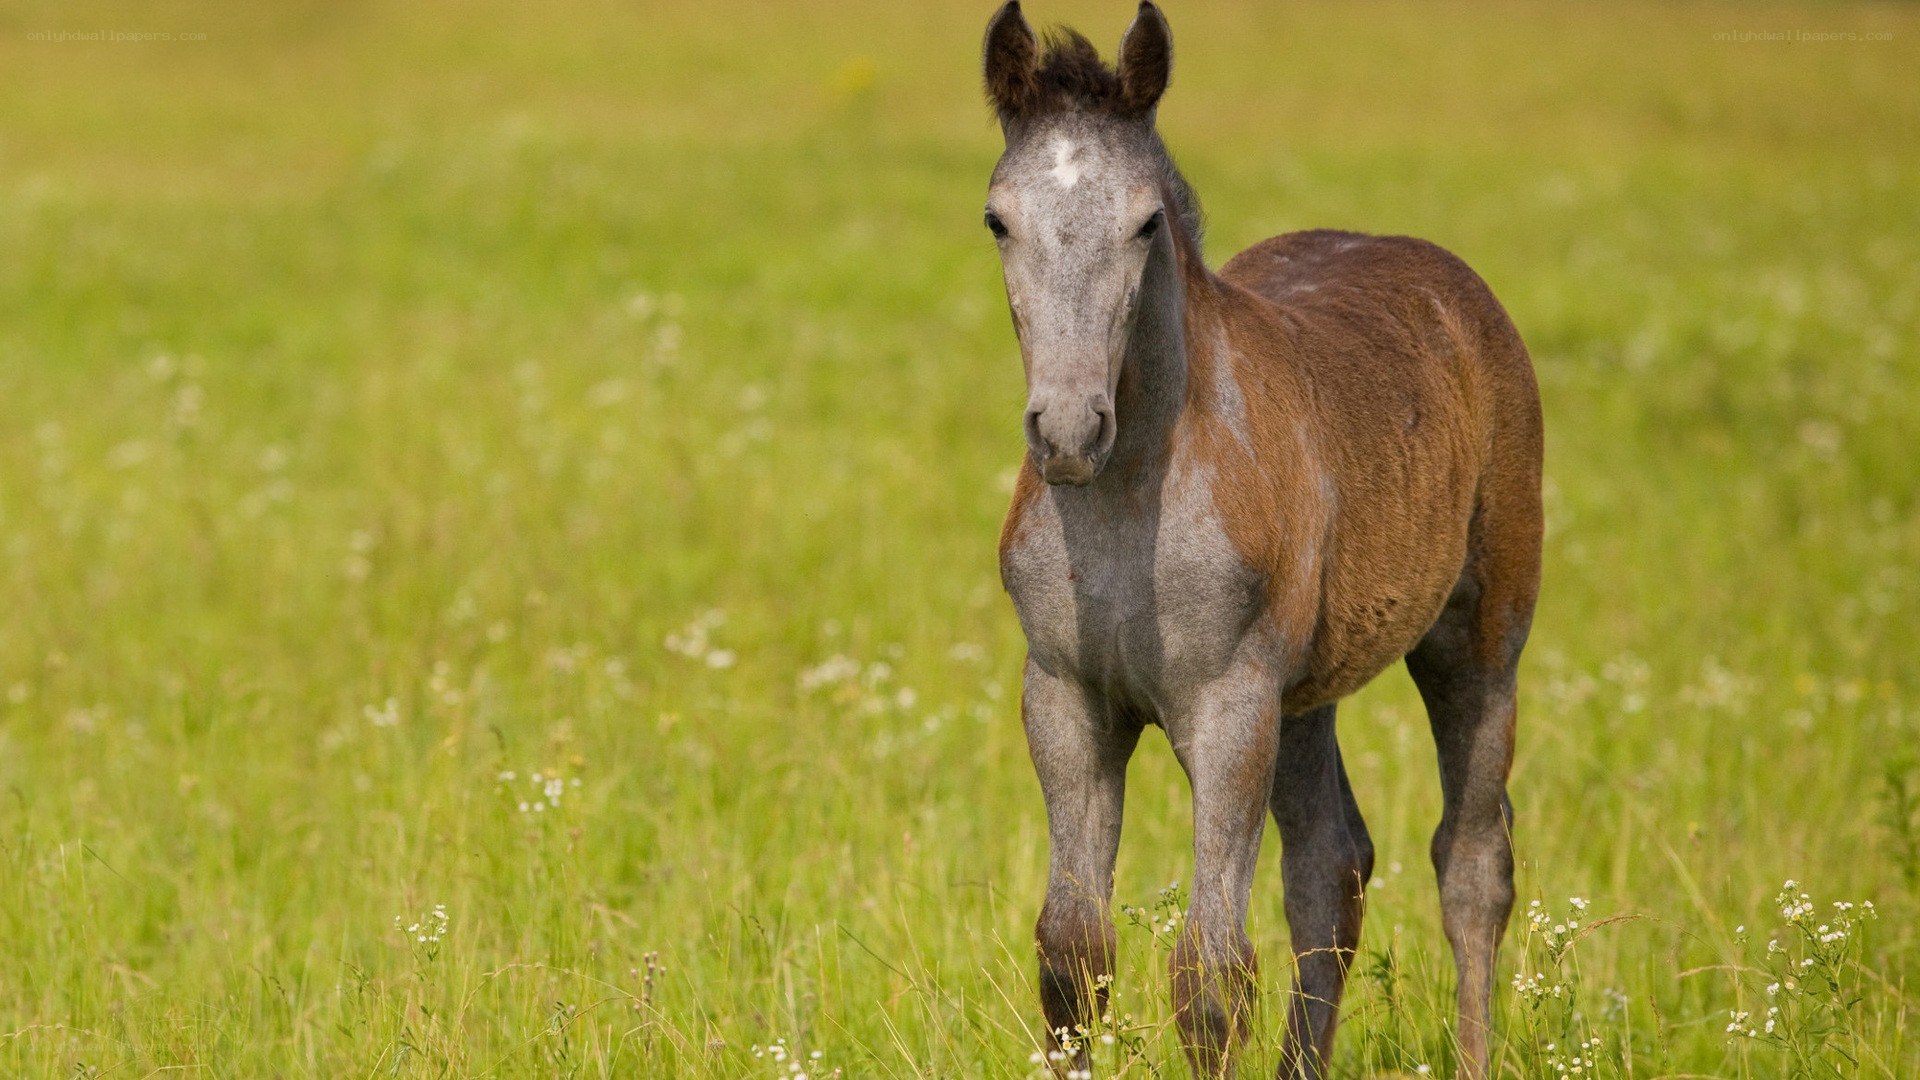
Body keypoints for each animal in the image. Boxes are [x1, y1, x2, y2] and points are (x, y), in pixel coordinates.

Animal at [979, 4, 1544, 1077]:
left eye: (1146, 222)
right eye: (998, 219)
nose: (1067, 429)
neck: (1129, 504)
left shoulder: (1229, 704)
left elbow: (1209, 972)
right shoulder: (1065, 696)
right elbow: (1071, 955)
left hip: (1478, 638)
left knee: (1473, 864)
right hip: (1306, 692)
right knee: (1332, 864)